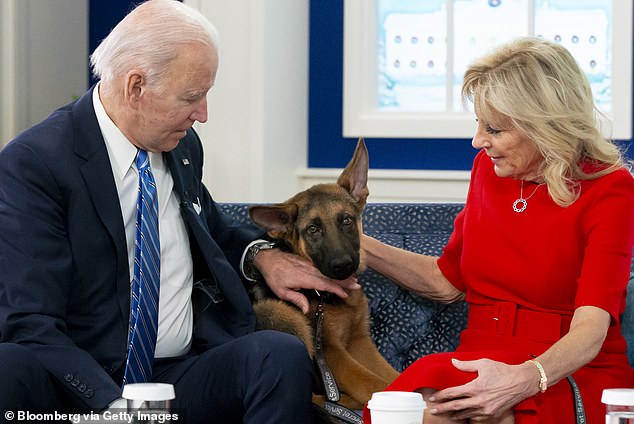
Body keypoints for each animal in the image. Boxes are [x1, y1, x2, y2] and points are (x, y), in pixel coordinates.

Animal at [246, 139, 396, 410]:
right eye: (313, 229)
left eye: (346, 220)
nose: (342, 265)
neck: (325, 296)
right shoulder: (332, 352)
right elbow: (375, 383)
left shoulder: (359, 341)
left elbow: (391, 374)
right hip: (280, 313)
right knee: (311, 396)